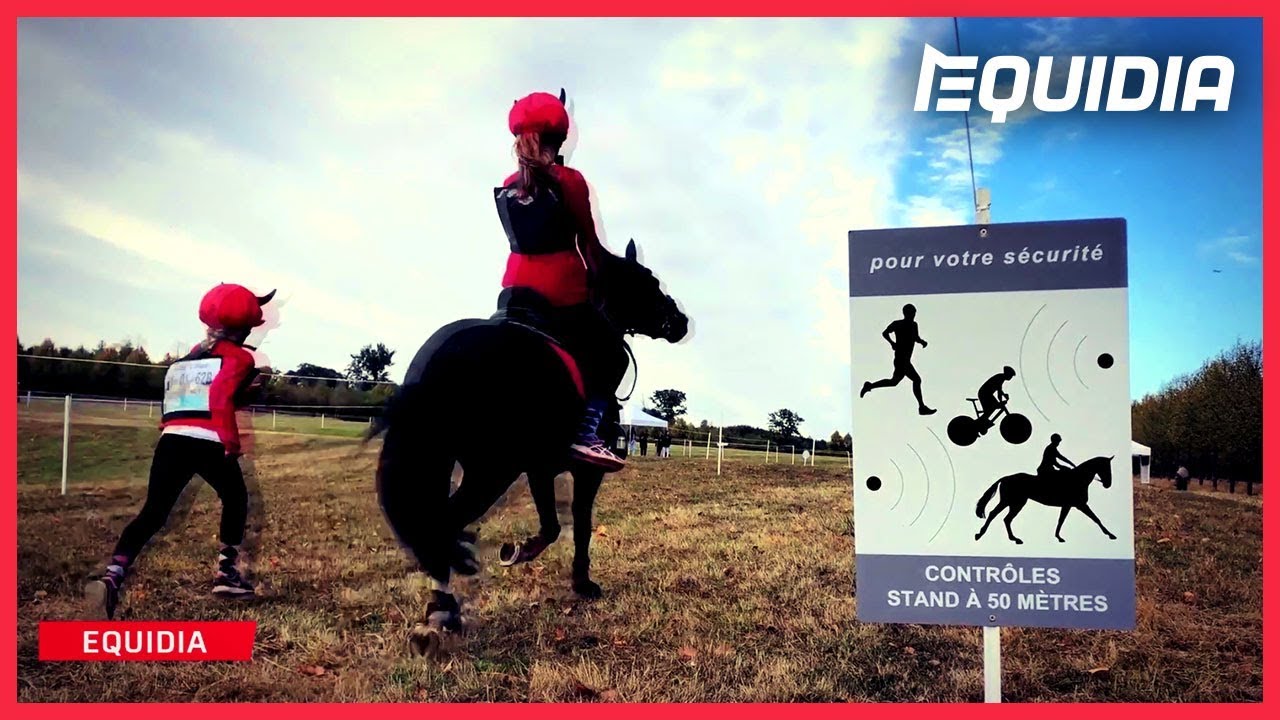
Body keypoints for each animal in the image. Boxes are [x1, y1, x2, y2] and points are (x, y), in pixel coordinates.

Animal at [369, 239, 688, 657]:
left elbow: (551, 525)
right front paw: (582, 583)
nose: (680, 321)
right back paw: (443, 612)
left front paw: (520, 550)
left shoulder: (539, 468)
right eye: (648, 282)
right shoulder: (585, 472)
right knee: (440, 526)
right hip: (490, 472)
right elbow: (580, 524)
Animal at [974, 455, 1117, 545]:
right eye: (1105, 468)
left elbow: (1061, 520)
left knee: (1006, 519)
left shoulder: (1068, 505)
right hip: (1010, 501)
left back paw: (1014, 539)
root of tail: (1005, 478)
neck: (1078, 479)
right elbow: (1096, 518)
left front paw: (1058, 537)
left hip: (1016, 503)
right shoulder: (1080, 504)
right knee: (994, 514)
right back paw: (980, 534)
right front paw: (1110, 534)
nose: (1108, 484)